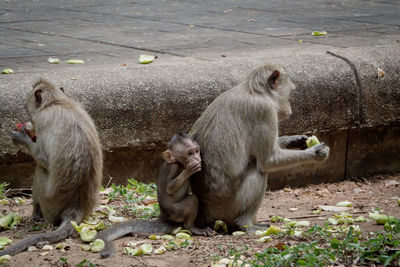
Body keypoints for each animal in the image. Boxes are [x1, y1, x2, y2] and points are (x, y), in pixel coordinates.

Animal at [0, 79, 103, 258]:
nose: (29, 123)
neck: (56, 101)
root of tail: (75, 208)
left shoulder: (43, 120)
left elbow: (44, 159)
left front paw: (22, 137)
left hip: (50, 204)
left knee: (40, 170)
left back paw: (36, 215)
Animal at [189, 63, 330, 232]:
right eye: (289, 93)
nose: (289, 107)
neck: (255, 91)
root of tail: (204, 212)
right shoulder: (265, 110)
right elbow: (268, 161)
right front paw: (316, 153)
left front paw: (293, 140)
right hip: (228, 207)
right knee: (259, 171)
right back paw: (244, 223)